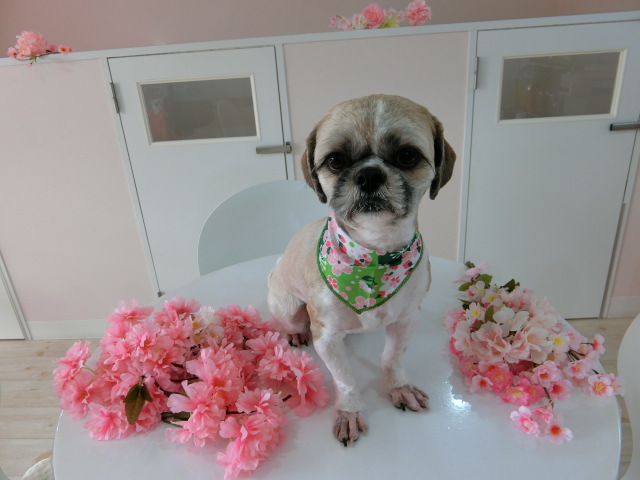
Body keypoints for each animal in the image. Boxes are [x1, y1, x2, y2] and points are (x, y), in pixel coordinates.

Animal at [267, 94, 456, 446]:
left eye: (407, 155)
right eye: (335, 160)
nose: (369, 175)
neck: (376, 257)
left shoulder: (407, 319)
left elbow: (393, 359)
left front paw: (398, 388)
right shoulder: (326, 336)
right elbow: (345, 378)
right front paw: (350, 411)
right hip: (288, 308)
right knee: (291, 321)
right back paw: (296, 332)